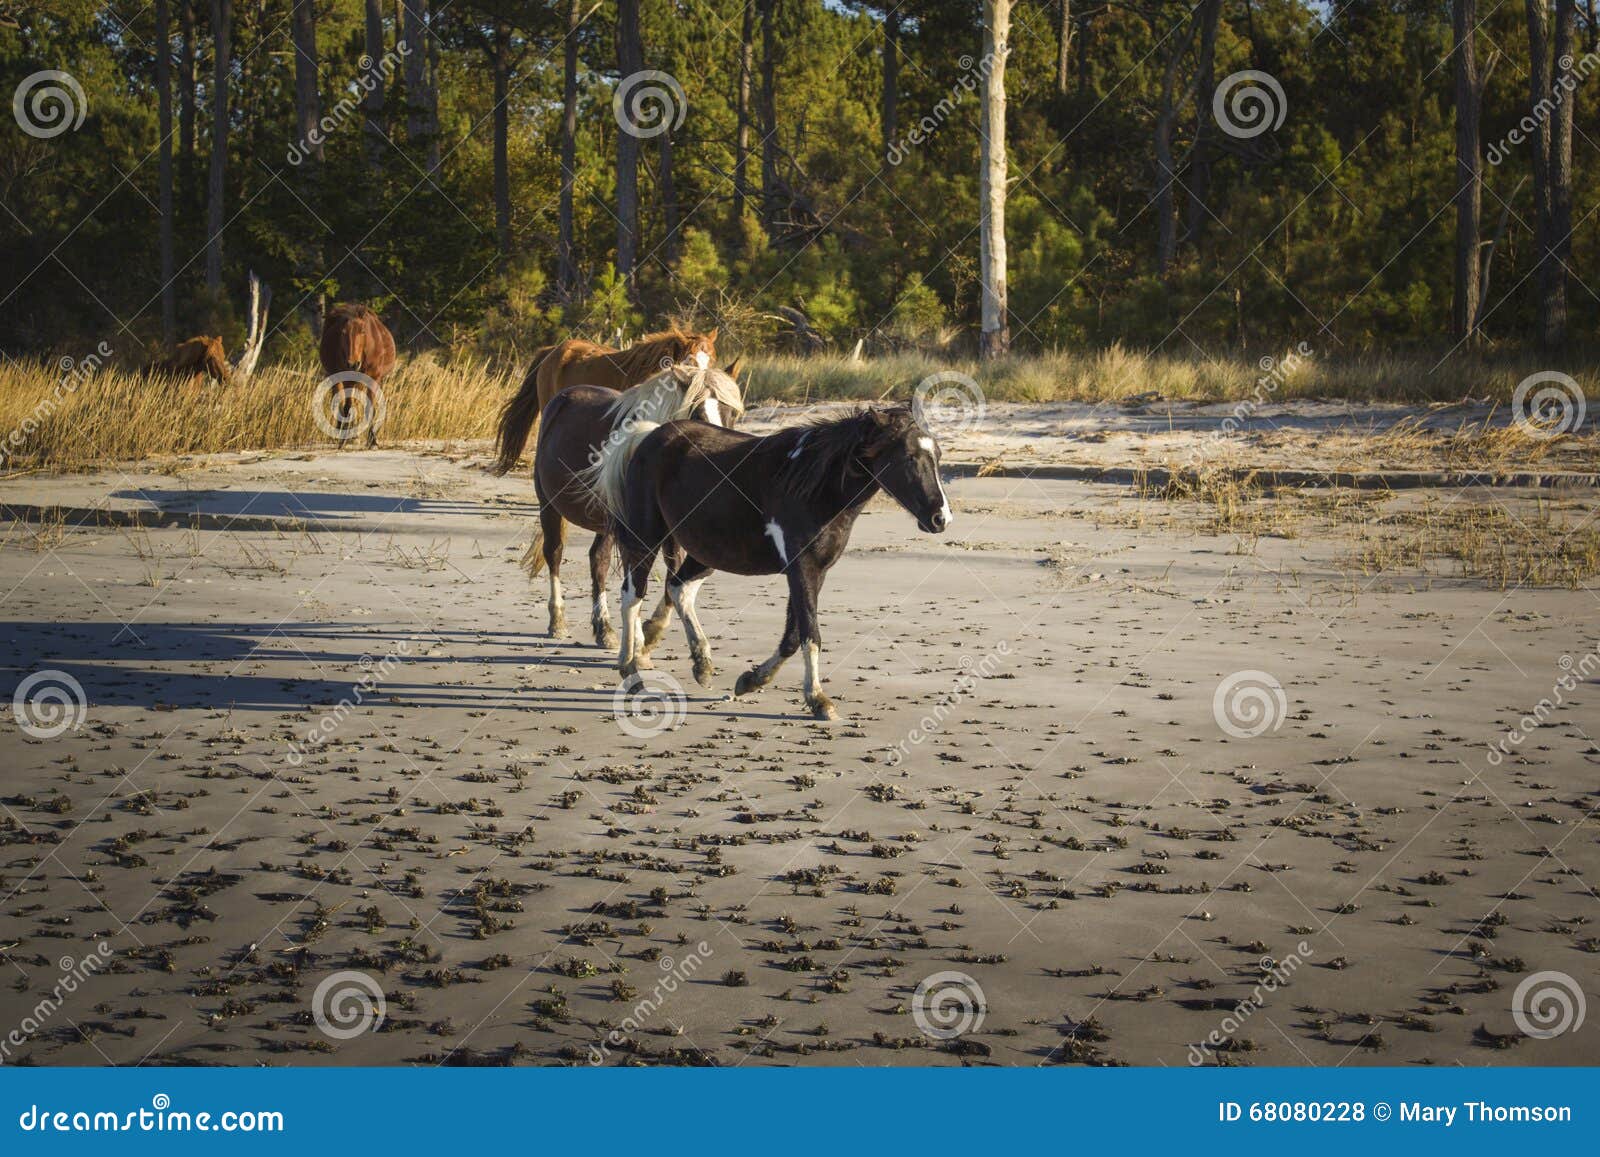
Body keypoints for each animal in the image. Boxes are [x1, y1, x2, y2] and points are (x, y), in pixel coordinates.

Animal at [316, 302, 395, 448]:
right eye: (343, 332)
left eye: (362, 331)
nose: (353, 364)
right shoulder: (345, 378)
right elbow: (346, 405)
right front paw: (343, 438)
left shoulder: (373, 378)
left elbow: (370, 407)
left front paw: (372, 441)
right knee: (342, 403)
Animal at [588, 403, 947, 720]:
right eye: (909, 456)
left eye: (938, 455)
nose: (940, 518)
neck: (814, 487)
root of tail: (649, 436)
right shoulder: (801, 568)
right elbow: (810, 634)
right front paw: (818, 700)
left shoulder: (813, 571)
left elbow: (793, 636)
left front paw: (752, 680)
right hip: (646, 539)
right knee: (633, 594)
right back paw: (631, 668)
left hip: (706, 552)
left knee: (678, 588)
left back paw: (701, 664)